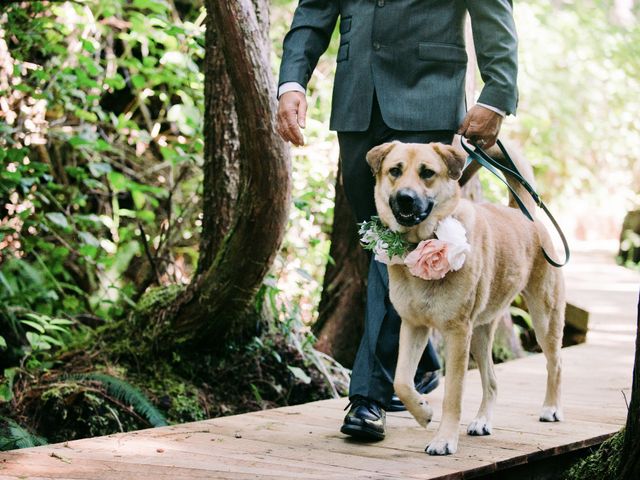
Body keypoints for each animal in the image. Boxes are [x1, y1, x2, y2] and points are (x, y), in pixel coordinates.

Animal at [364, 141, 564, 456]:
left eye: (427, 173)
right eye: (395, 171)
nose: (406, 199)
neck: (420, 243)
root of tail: (523, 214)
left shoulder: (457, 333)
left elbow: (453, 394)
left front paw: (444, 439)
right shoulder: (413, 325)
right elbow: (401, 381)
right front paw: (423, 411)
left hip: (545, 318)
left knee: (554, 363)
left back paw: (551, 408)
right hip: (480, 334)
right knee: (492, 381)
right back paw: (482, 421)